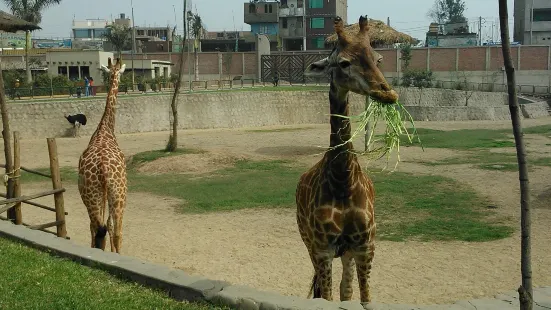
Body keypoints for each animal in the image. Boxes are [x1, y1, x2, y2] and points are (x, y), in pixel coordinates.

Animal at [77, 58, 127, 254]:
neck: (105, 129)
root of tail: (104, 169)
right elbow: (109, 226)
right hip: (117, 195)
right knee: (112, 229)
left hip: (95, 196)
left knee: (99, 228)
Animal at [296, 15, 398, 304]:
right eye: (343, 62)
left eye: (377, 59)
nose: (386, 92)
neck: (343, 180)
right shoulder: (323, 248)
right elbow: (326, 297)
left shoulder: (365, 246)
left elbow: (363, 298)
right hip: (309, 243)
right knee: (323, 289)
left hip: (348, 253)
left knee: (346, 289)